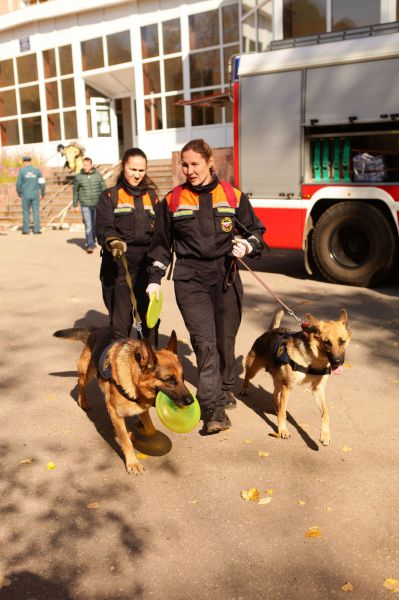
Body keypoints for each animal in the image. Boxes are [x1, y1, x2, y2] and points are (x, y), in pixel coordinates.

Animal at [54, 328, 193, 474]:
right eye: (170, 380)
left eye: (183, 378)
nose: (191, 401)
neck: (133, 378)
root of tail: (97, 329)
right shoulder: (115, 413)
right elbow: (126, 441)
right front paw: (132, 463)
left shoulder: (142, 408)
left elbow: (150, 430)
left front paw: (136, 432)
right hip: (88, 373)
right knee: (80, 381)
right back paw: (83, 401)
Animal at [239, 310, 352, 446]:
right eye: (326, 342)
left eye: (342, 341)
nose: (338, 362)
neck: (313, 361)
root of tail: (271, 331)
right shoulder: (287, 387)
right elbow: (283, 413)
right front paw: (282, 430)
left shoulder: (317, 390)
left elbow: (326, 413)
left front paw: (325, 434)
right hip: (255, 369)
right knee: (247, 376)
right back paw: (245, 389)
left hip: (279, 381)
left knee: (274, 396)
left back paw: (276, 407)